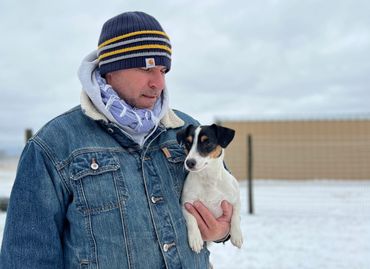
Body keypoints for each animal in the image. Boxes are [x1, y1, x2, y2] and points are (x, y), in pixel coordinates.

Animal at [176, 122, 243, 252]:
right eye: (188, 143)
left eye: (207, 142)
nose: (189, 162)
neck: (208, 180)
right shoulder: (186, 204)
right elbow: (191, 220)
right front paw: (195, 239)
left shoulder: (236, 199)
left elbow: (235, 215)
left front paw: (237, 236)